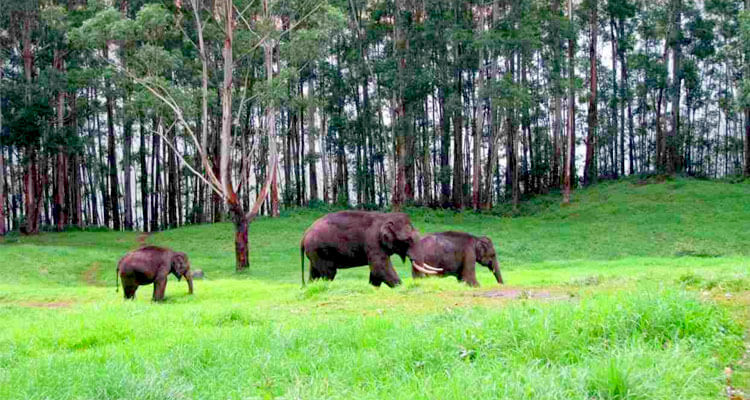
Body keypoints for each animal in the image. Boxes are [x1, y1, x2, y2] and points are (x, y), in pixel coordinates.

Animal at [300, 211, 440, 286]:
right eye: (407, 241)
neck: (385, 217)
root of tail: (304, 235)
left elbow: (376, 272)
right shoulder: (373, 242)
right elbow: (380, 268)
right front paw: (400, 286)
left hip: (315, 253)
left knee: (314, 273)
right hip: (321, 251)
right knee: (328, 273)